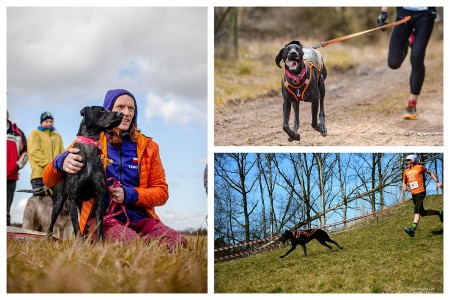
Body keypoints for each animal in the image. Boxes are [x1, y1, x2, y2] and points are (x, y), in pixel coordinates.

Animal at [46, 106, 123, 243]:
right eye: (102, 111)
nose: (121, 114)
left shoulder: (99, 199)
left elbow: (99, 227)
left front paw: (99, 245)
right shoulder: (72, 199)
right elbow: (77, 227)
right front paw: (79, 245)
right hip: (59, 202)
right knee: (52, 223)